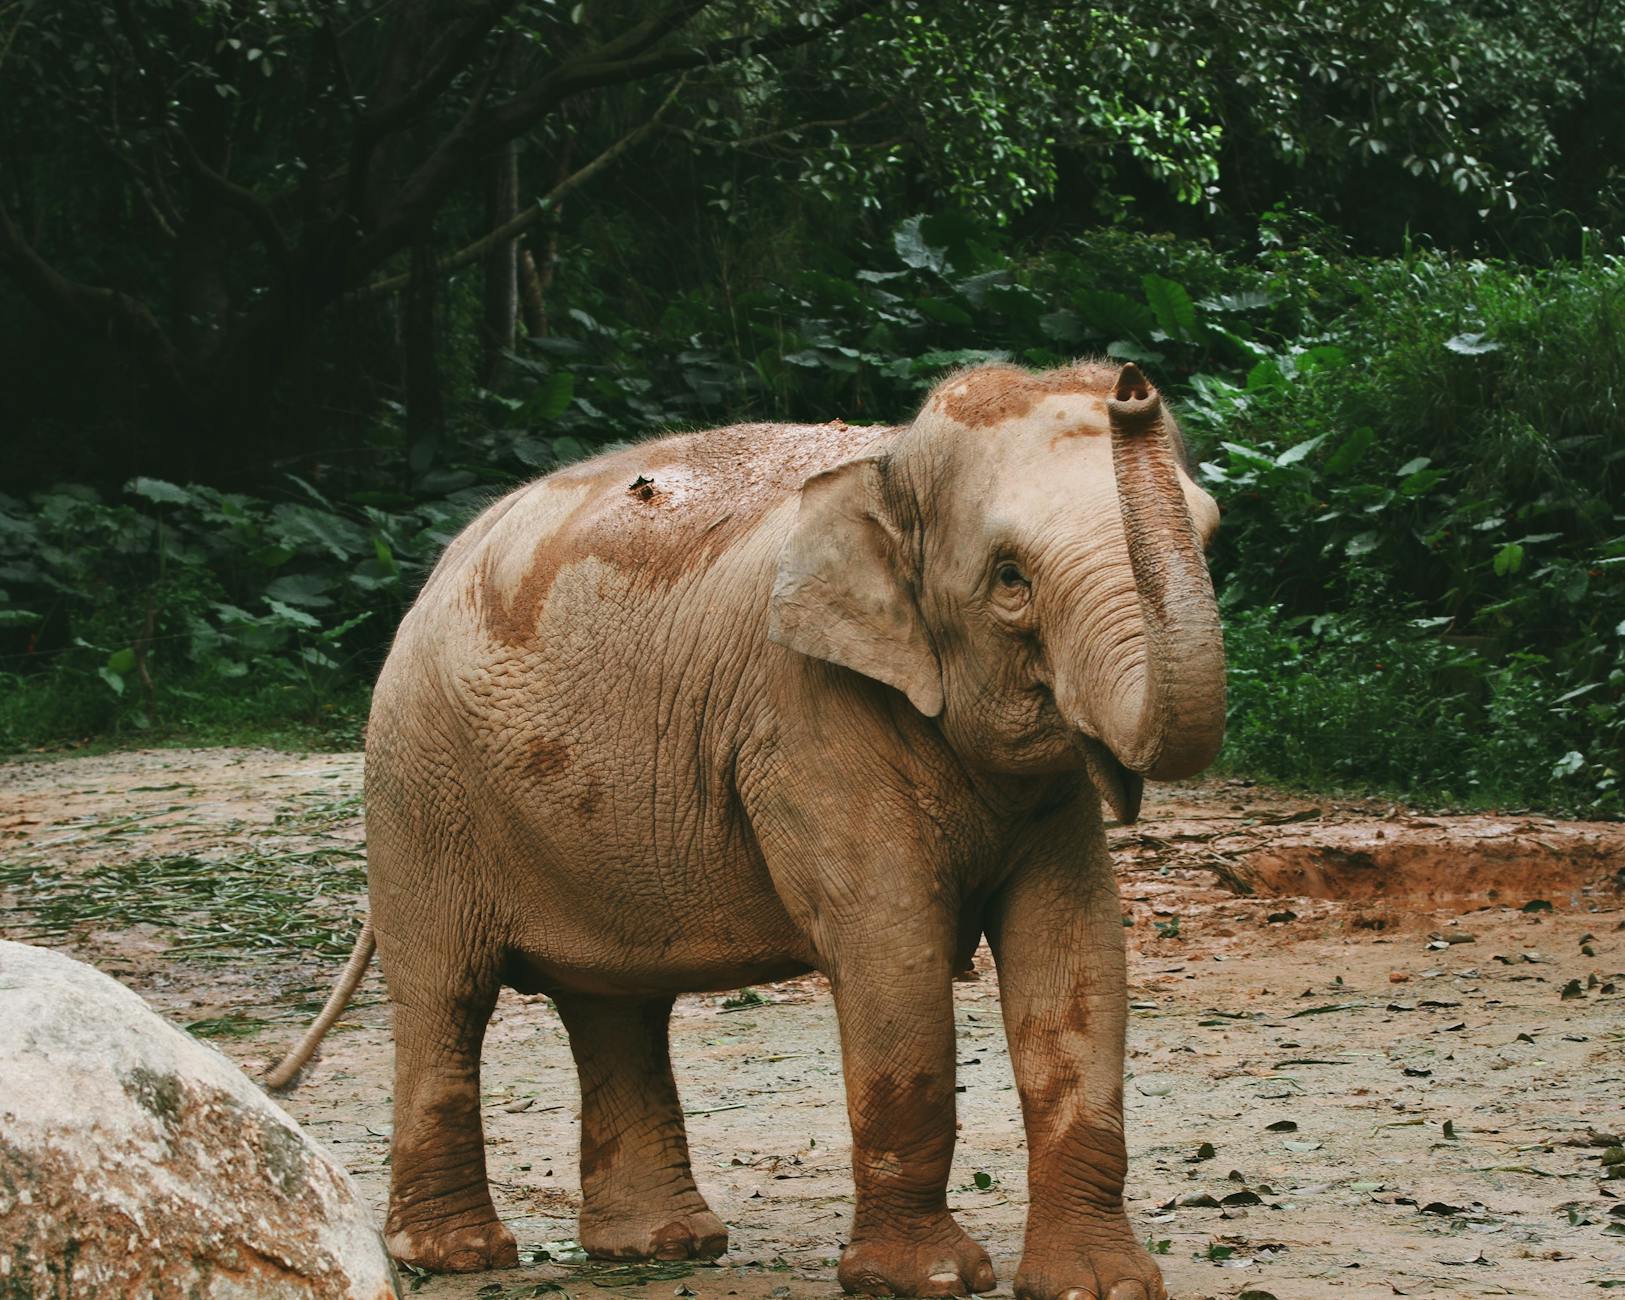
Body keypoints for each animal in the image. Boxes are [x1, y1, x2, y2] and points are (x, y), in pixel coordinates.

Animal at [269, 359, 1225, 1300]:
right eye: (1010, 579)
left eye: (1210, 537)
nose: (1132, 385)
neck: (887, 463)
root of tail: (439, 567)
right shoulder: (802, 716)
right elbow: (890, 945)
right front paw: (924, 1281)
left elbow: (1075, 950)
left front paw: (1099, 1287)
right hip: (419, 790)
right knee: (446, 994)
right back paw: (460, 1256)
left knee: (614, 1003)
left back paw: (660, 1247)